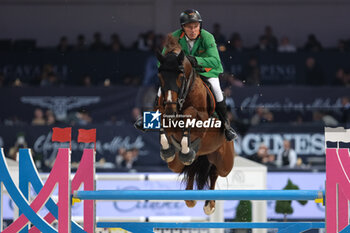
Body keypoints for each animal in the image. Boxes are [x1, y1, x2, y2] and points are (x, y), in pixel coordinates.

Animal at [156, 34, 235, 215]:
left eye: (180, 76)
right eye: (160, 77)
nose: (171, 110)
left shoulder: (201, 118)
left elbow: (191, 115)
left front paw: (186, 144)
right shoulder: (162, 109)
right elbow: (161, 120)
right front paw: (167, 149)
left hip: (225, 163)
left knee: (215, 172)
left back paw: (209, 204)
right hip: (176, 164)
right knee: (191, 167)